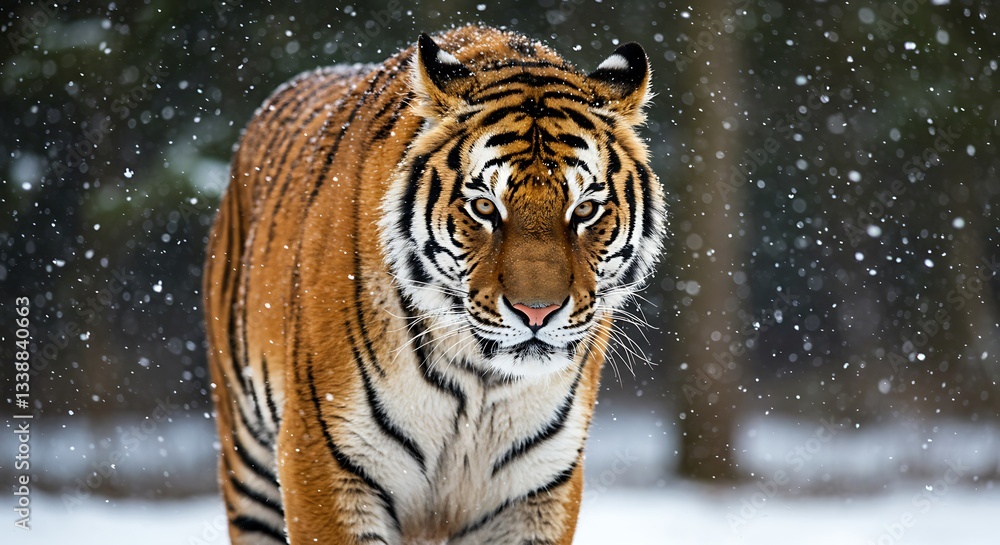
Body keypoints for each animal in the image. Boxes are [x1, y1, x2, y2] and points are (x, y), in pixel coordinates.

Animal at [203, 24, 666, 545]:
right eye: (484, 207)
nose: (537, 313)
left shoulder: (537, 489)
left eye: (584, 209)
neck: (482, 381)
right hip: (248, 461)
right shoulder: (324, 461)